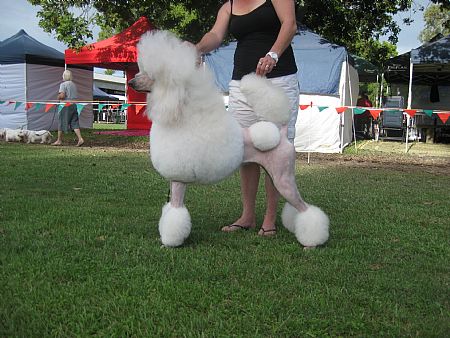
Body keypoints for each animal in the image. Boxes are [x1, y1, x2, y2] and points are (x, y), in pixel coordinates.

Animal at [128, 31, 328, 248]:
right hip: (276, 174)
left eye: (150, 74)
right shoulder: (174, 180)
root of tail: (281, 133)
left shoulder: (179, 180)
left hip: (283, 178)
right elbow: (170, 210)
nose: (131, 83)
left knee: (305, 208)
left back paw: (311, 242)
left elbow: (175, 213)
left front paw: (170, 243)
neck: (179, 117)